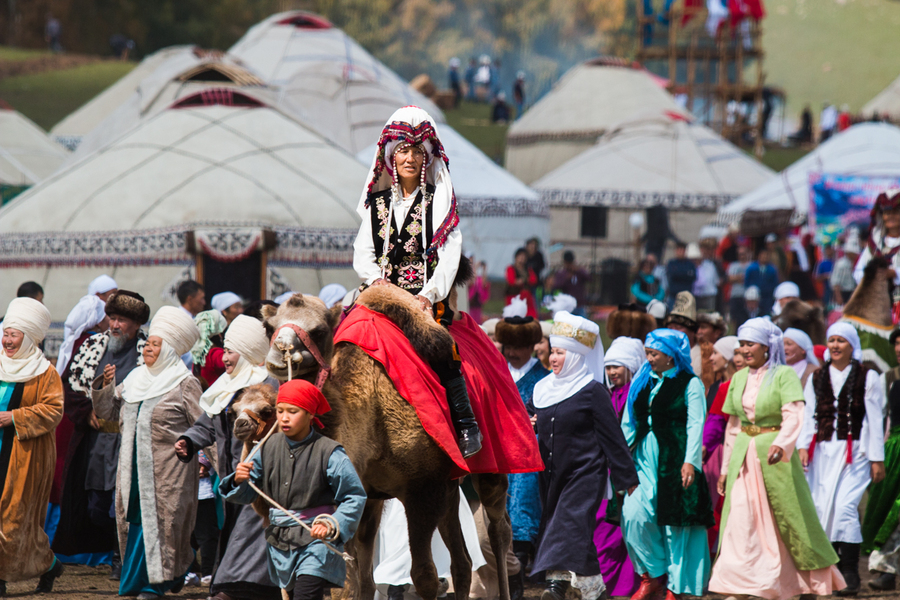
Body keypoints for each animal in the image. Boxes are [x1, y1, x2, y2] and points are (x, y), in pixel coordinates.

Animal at [260, 284, 512, 600]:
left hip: (491, 465)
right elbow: (357, 582)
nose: (280, 352)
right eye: (269, 327)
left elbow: (425, 576)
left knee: (498, 529)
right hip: (450, 482)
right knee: (462, 562)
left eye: (318, 330)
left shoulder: (422, 488)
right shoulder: (363, 493)